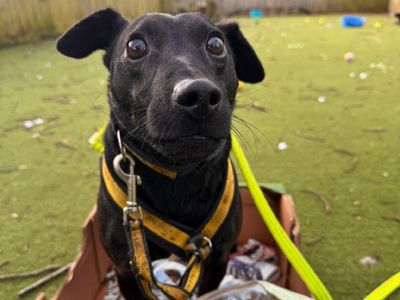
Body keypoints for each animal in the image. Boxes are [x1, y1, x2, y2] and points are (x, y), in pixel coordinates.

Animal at [55, 8, 262, 300]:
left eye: (216, 44)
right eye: (135, 47)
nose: (199, 95)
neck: (179, 175)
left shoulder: (216, 260)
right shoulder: (126, 269)